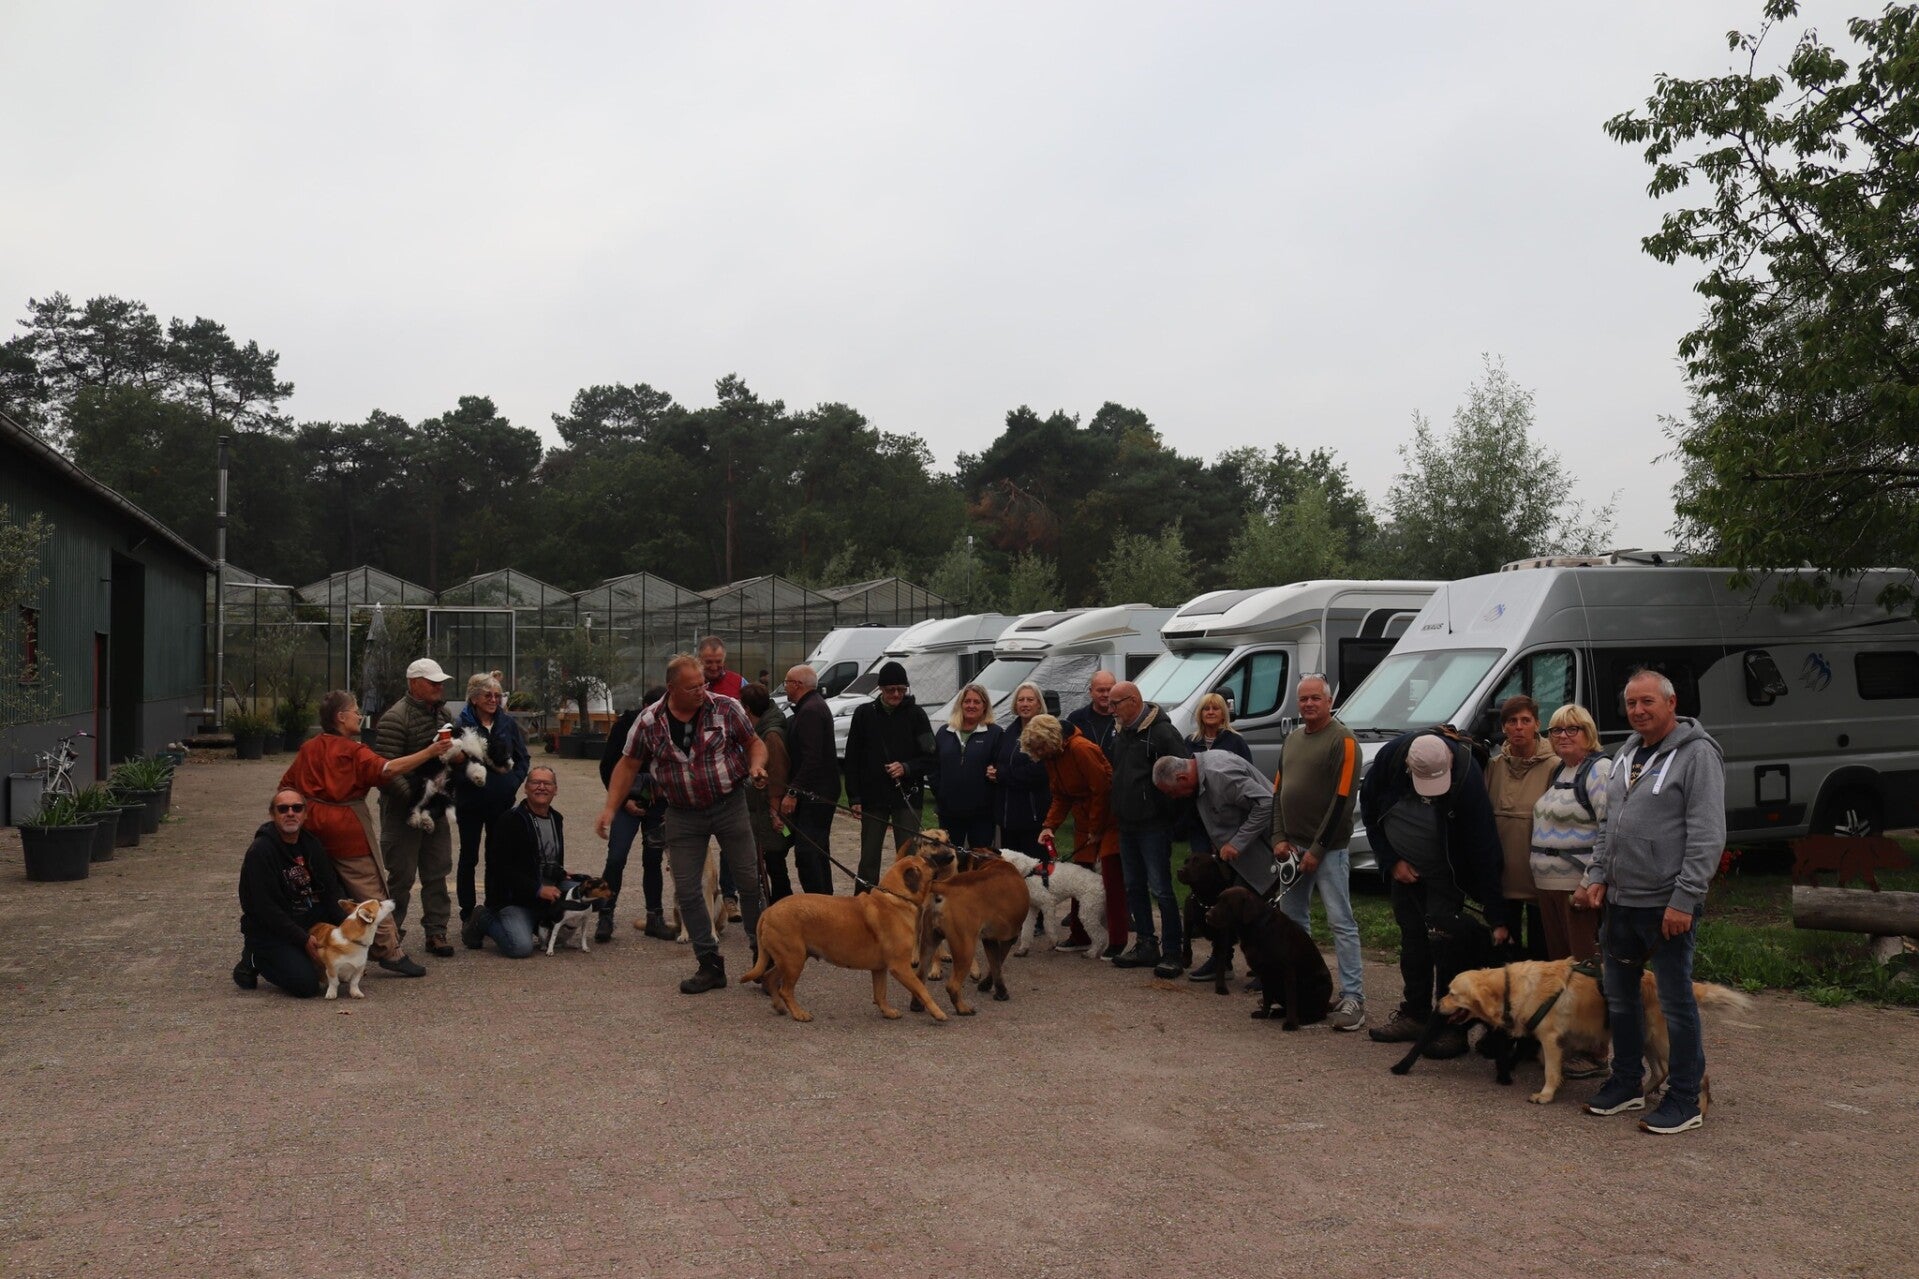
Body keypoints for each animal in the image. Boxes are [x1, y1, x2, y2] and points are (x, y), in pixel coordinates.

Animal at [740, 851, 954, 1023]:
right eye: (927, 861)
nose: (944, 857)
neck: (896, 898)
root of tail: (768, 911)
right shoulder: (900, 967)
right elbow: (922, 990)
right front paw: (938, 1012)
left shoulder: (880, 969)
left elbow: (880, 993)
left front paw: (887, 1012)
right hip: (794, 960)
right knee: (785, 990)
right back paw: (799, 1014)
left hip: (791, 959)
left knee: (770, 979)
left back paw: (779, 1007)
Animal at [917, 856, 1032, 1014]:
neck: (992, 861)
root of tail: (945, 887)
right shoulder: (1008, 938)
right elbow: (998, 964)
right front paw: (995, 989)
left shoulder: (990, 940)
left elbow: (995, 964)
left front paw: (997, 989)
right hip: (965, 949)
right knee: (952, 986)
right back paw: (963, 1009)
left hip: (929, 941)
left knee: (920, 977)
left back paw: (916, 1005)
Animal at [1177, 852, 1240, 994]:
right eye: (1185, 861)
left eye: (1197, 862)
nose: (1179, 870)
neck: (1206, 900)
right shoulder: (1188, 919)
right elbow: (1186, 940)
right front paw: (1186, 959)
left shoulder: (1222, 935)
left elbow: (1221, 963)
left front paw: (1221, 987)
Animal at [1204, 887, 1334, 1030]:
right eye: (1218, 900)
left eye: (1228, 904)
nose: (1207, 915)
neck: (1258, 928)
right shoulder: (1265, 973)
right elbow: (1266, 996)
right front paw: (1263, 1014)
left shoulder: (1287, 972)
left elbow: (1291, 1001)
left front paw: (1290, 1024)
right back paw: (1277, 1013)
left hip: (1319, 986)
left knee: (1318, 1013)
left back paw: (1304, 1019)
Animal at [1391, 958, 1754, 1105]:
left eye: (1452, 993)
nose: (1437, 1006)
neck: (1509, 987)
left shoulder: (1551, 1039)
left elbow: (1551, 1071)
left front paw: (1545, 1095)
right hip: (1648, 1039)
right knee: (1661, 1070)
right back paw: (1643, 1091)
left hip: (1661, 1039)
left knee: (1698, 1073)